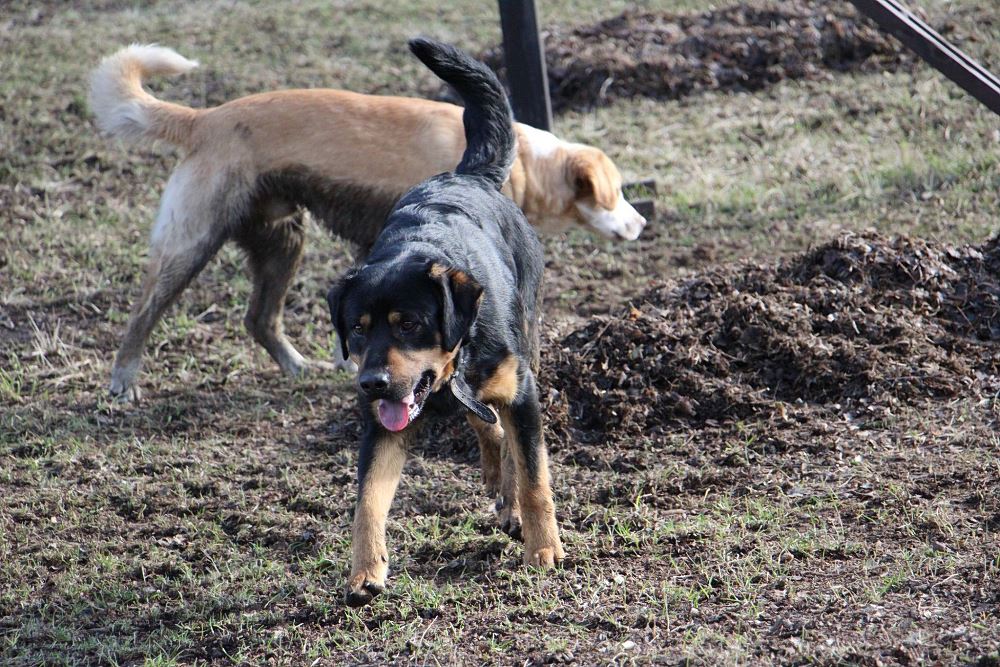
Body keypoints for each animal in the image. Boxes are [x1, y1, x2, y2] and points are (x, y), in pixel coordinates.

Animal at [88, 45, 646, 401]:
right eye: (617, 192)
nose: (641, 224)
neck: (524, 161)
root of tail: (202, 119)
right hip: (192, 243)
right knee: (143, 312)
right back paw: (124, 381)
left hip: (282, 243)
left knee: (259, 318)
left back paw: (297, 366)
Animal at [326, 37, 563, 607]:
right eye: (358, 329)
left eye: (409, 323)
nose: (371, 382)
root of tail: (468, 175)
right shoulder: (383, 424)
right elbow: (368, 500)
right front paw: (366, 571)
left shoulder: (523, 392)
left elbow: (534, 477)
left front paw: (544, 548)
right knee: (487, 427)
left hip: (529, 341)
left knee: (509, 442)